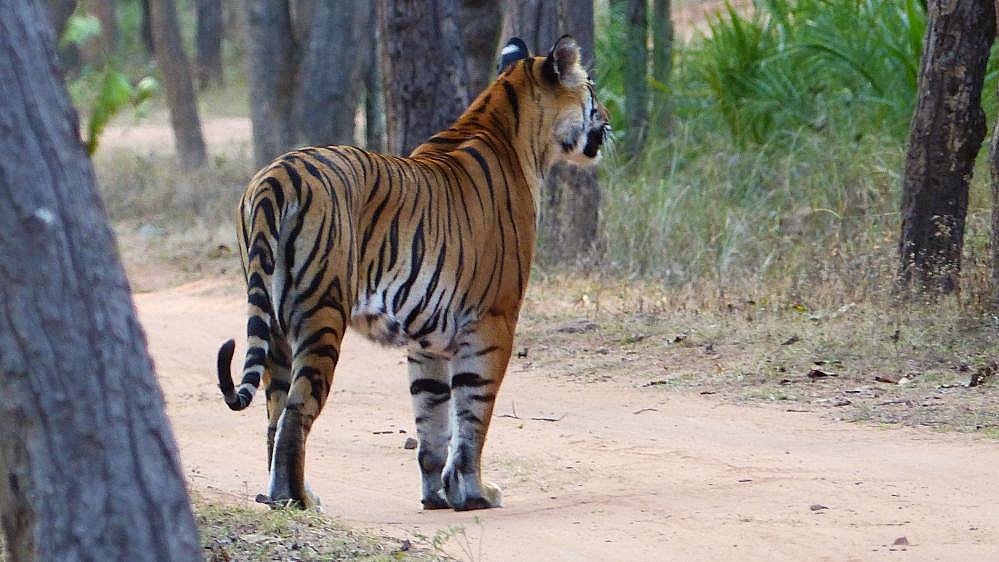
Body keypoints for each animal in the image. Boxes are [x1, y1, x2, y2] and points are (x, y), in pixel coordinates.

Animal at [216, 35, 609, 511]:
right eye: (591, 89)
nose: (608, 120)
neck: (515, 133)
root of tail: (276, 177)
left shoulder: (428, 337)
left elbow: (432, 418)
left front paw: (437, 495)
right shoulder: (493, 320)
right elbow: (473, 413)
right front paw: (474, 492)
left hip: (274, 324)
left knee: (273, 414)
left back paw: (282, 496)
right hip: (321, 314)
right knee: (296, 410)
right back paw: (299, 500)